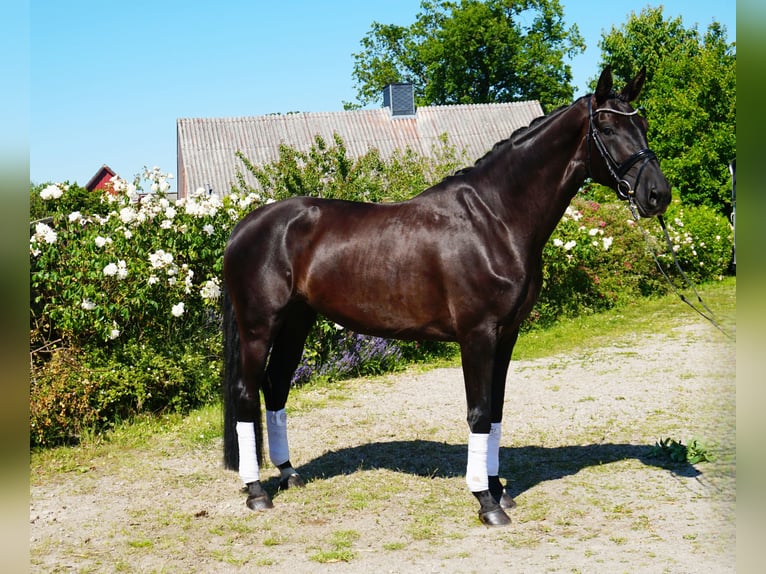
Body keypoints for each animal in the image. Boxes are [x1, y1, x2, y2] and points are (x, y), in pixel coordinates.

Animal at [219, 66, 668, 528]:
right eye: (608, 128)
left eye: (643, 124)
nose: (658, 195)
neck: (494, 219)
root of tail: (243, 227)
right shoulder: (478, 335)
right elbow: (478, 411)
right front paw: (486, 502)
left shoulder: (507, 335)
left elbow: (496, 410)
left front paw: (498, 489)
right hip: (259, 328)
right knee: (246, 395)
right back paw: (256, 491)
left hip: (296, 322)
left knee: (275, 389)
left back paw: (288, 474)